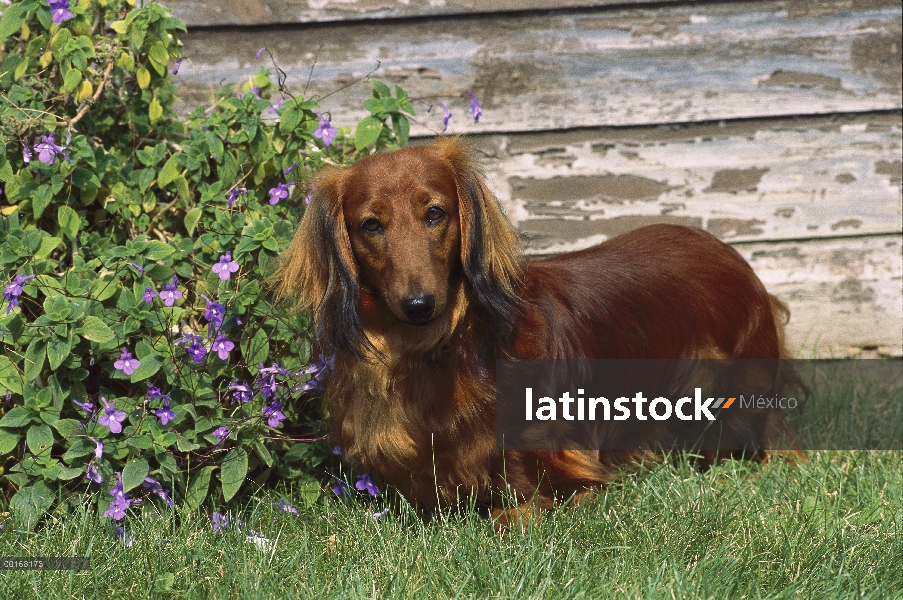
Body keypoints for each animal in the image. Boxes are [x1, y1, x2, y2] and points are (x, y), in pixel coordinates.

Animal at [274, 136, 800, 524]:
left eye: (435, 213)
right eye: (371, 225)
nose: (419, 306)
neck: (438, 353)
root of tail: (726, 251)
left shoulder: (569, 477)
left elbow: (513, 511)